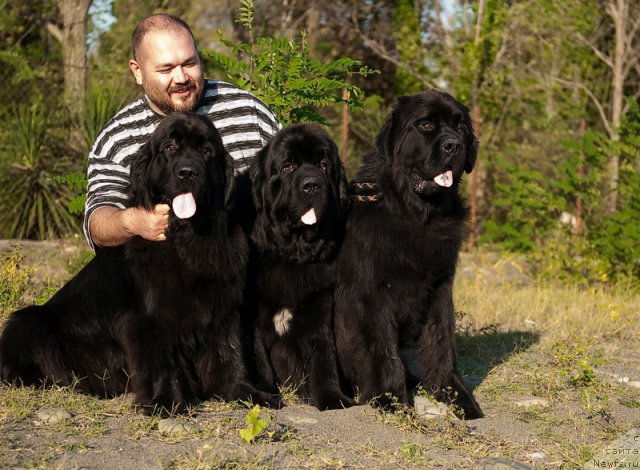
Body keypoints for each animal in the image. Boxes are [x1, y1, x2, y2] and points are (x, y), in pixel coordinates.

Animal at [0, 114, 280, 414]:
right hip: (27, 322)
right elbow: (160, 362)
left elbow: (230, 352)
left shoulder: (223, 306)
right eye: (170, 147)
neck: (185, 238)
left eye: (206, 151)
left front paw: (245, 392)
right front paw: (165, 401)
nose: (187, 173)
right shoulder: (148, 318)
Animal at [248, 123, 356, 410]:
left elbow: (323, 357)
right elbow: (259, 359)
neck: (293, 256)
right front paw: (266, 395)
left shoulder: (319, 309)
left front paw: (331, 398)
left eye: (323, 165)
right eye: (287, 166)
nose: (311, 186)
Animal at [338, 91, 482, 418]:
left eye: (461, 128)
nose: (454, 145)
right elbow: (385, 352)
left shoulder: (439, 288)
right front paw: (391, 400)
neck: (417, 216)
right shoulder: (372, 295)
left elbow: (441, 343)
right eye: (426, 124)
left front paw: (455, 396)